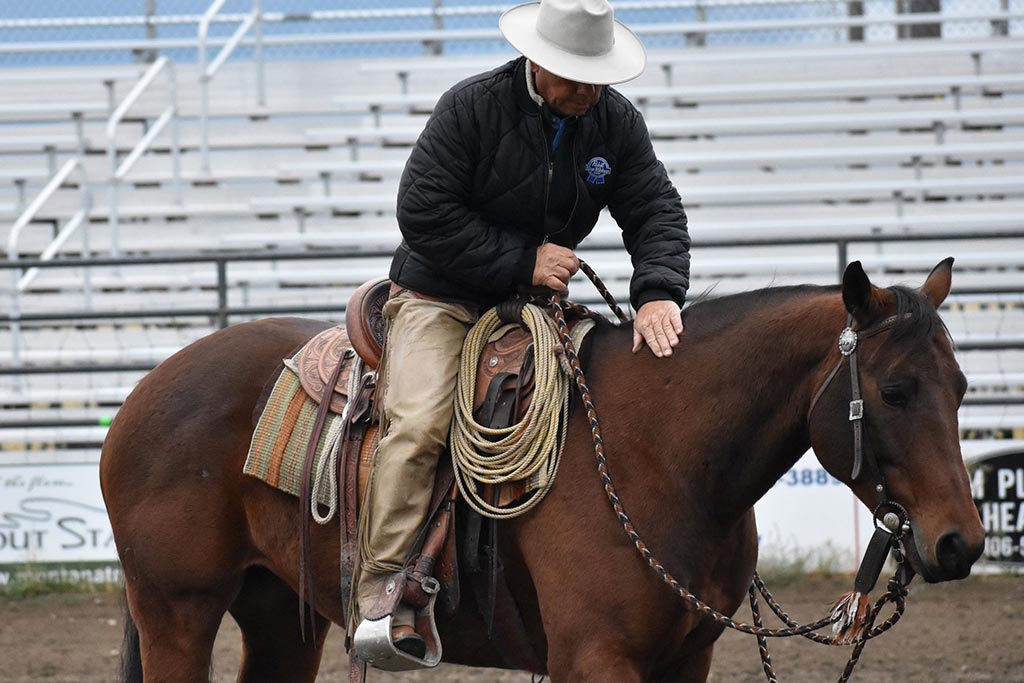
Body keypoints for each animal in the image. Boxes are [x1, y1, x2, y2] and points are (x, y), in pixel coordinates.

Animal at [101, 259, 983, 679]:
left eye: (963, 386)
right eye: (896, 389)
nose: (962, 543)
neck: (662, 452)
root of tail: (145, 390)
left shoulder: (685, 660)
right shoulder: (593, 659)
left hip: (280, 615)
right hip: (176, 609)